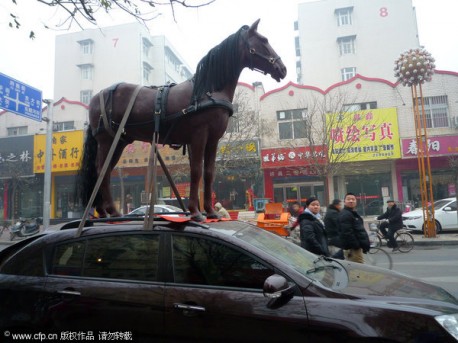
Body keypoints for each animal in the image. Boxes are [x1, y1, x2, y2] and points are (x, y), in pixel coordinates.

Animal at [78, 19, 286, 223]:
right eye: (264, 40)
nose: (282, 69)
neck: (208, 91)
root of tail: (94, 98)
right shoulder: (199, 135)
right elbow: (196, 171)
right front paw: (195, 211)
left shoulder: (212, 139)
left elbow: (208, 172)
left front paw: (211, 212)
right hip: (107, 141)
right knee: (101, 172)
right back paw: (111, 211)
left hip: (119, 141)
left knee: (104, 171)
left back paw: (104, 212)